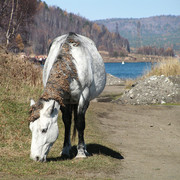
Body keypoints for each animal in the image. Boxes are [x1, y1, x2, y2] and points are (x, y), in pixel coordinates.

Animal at [28, 32, 106, 162]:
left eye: (44, 130)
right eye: (31, 128)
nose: (35, 157)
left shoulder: (84, 96)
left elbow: (80, 122)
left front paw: (81, 153)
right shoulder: (63, 100)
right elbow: (67, 121)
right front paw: (65, 150)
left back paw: (84, 149)